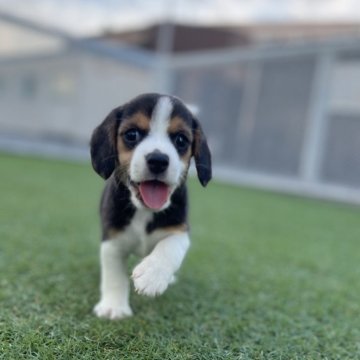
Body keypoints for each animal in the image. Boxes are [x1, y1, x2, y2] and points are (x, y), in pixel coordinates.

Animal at [90, 93, 212, 320]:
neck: (145, 211)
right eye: (132, 135)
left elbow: (170, 248)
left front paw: (152, 276)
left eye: (181, 140)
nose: (158, 160)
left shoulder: (179, 230)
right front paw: (114, 307)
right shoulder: (112, 241)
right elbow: (114, 276)